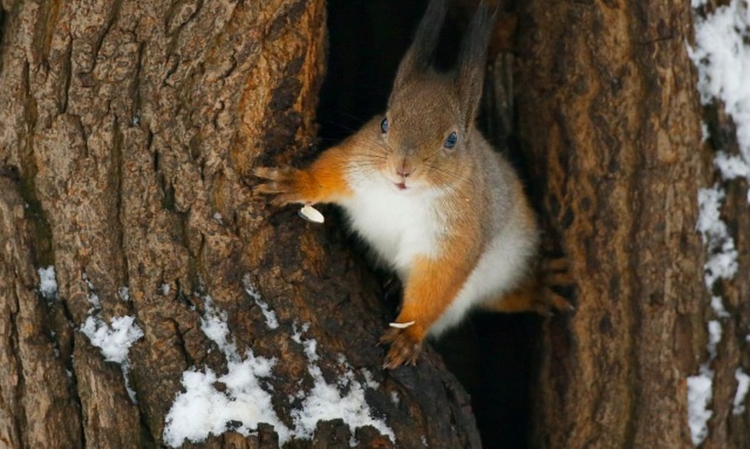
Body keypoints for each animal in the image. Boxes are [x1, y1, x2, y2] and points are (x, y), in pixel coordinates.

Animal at [256, 0, 572, 368]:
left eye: (452, 140)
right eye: (384, 123)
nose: (402, 169)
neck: (404, 198)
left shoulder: (455, 236)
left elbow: (438, 282)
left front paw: (408, 334)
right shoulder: (356, 163)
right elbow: (328, 172)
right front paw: (295, 183)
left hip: (508, 261)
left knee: (501, 295)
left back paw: (537, 286)